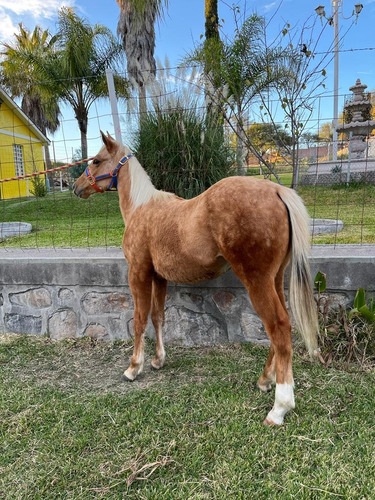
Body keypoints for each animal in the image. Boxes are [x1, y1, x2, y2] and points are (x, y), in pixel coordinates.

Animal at [74, 131, 320, 424]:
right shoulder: (159, 277)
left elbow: (139, 319)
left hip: (257, 282)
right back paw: (265, 380)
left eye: (96, 161)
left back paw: (279, 407)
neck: (141, 208)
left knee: (279, 327)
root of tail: (276, 190)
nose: (76, 187)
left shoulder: (138, 273)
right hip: (275, 279)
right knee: (281, 325)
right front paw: (158, 360)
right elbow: (158, 317)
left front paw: (134, 368)